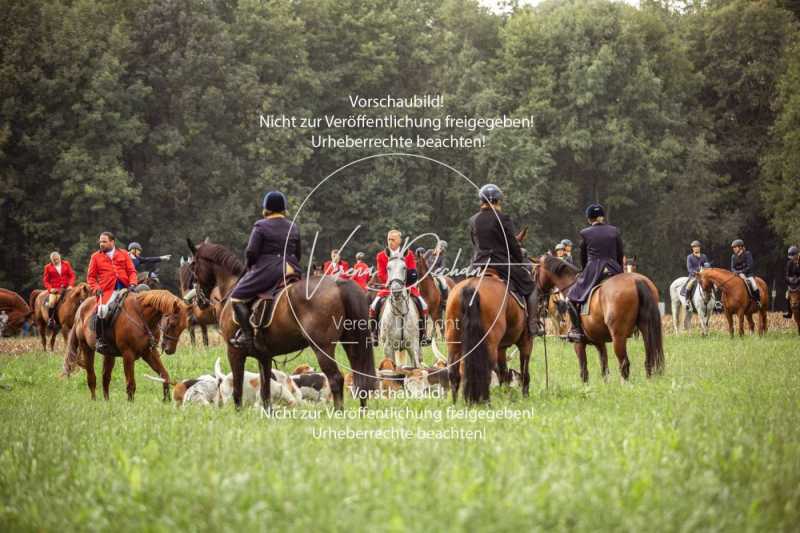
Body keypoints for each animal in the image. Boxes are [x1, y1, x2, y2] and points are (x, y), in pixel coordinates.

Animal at [188, 239, 378, 410]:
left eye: (193, 266)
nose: (199, 301)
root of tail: (338, 284)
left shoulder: (234, 352)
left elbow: (237, 390)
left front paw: (239, 413)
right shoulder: (264, 357)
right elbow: (265, 390)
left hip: (322, 347)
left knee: (336, 378)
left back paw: (339, 412)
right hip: (351, 341)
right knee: (359, 375)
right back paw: (362, 411)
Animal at [444, 270, 532, 404]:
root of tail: (471, 287)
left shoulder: (501, 348)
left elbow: (503, 372)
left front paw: (506, 395)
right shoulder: (526, 341)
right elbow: (524, 370)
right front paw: (525, 396)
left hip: (453, 340)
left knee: (454, 372)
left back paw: (456, 403)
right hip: (489, 343)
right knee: (486, 372)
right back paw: (485, 401)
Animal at [532, 255, 664, 382]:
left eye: (534, 273)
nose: (537, 298)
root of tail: (637, 280)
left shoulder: (579, 344)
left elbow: (584, 371)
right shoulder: (599, 342)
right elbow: (604, 369)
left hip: (618, 337)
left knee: (624, 363)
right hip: (646, 330)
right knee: (649, 359)